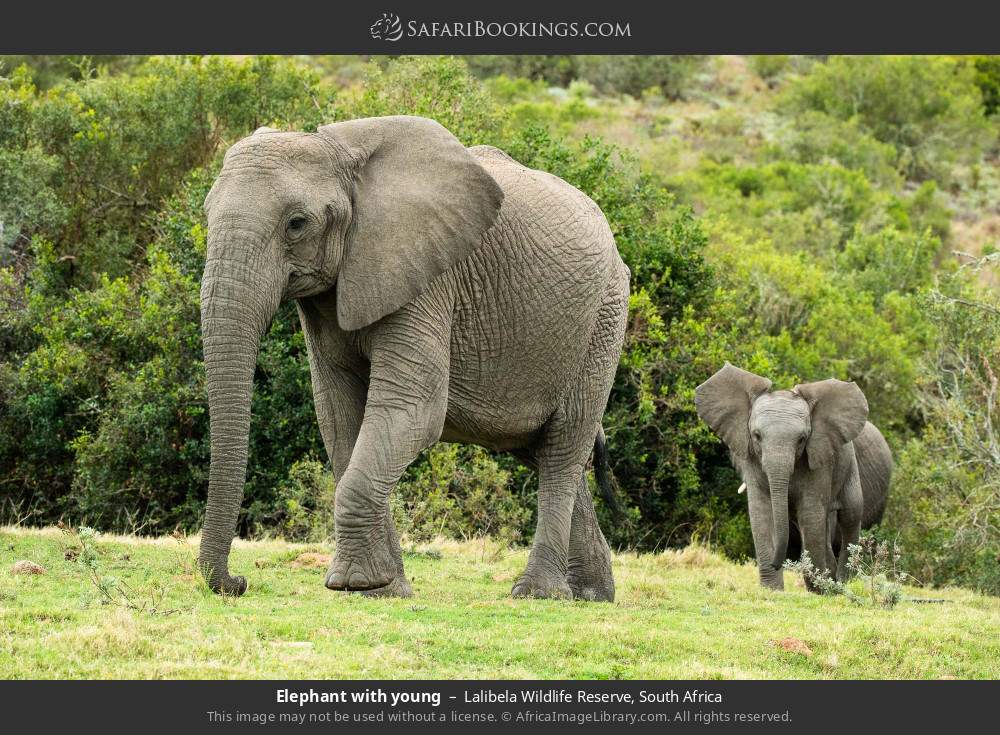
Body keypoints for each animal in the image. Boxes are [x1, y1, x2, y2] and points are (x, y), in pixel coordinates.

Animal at [197, 115, 629, 601]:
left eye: (296, 224)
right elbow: (339, 418)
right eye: (207, 216)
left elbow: (411, 410)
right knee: (541, 449)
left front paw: (356, 583)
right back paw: (591, 596)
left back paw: (539, 594)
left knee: (563, 447)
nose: (238, 582)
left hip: (603, 322)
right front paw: (382, 589)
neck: (342, 154)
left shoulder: (430, 278)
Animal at [695, 363, 892, 591]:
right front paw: (772, 590)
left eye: (802, 439)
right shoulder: (752, 460)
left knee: (850, 515)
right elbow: (762, 512)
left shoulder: (819, 459)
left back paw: (844, 582)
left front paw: (819, 589)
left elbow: (810, 512)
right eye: (756, 436)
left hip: (851, 466)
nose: (777, 563)